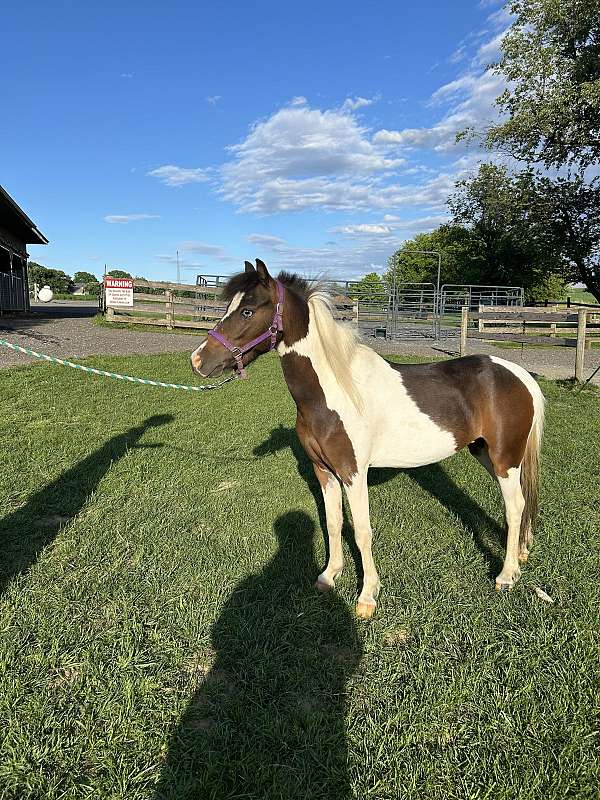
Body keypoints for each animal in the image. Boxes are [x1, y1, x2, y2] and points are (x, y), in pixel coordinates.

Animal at [192, 260, 544, 620]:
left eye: (247, 310)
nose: (198, 361)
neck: (335, 391)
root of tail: (520, 375)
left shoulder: (352, 473)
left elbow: (362, 531)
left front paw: (367, 596)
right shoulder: (324, 471)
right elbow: (333, 523)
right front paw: (328, 576)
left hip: (505, 459)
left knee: (515, 506)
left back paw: (506, 575)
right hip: (487, 454)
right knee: (523, 501)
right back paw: (522, 554)